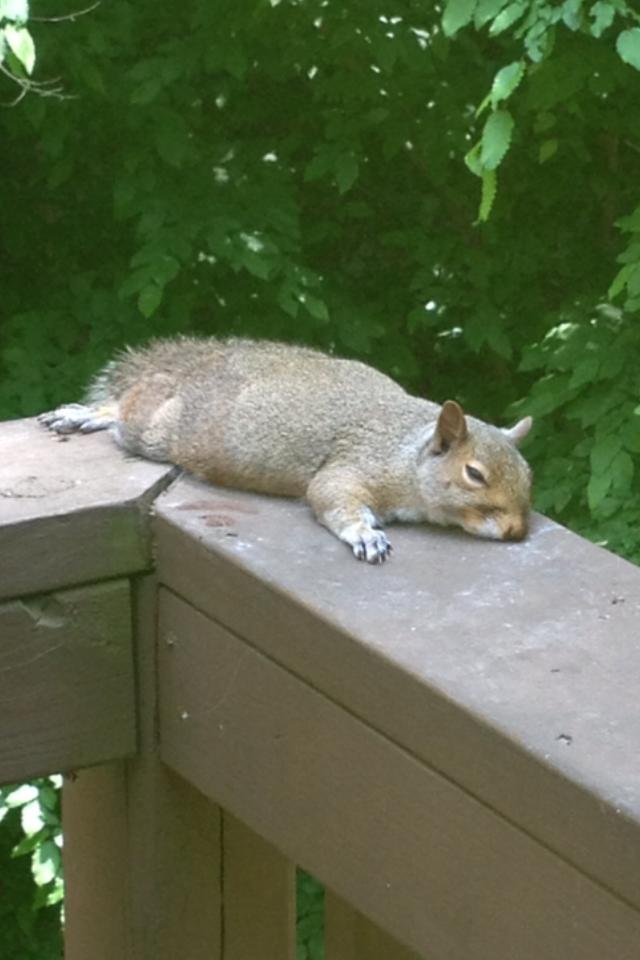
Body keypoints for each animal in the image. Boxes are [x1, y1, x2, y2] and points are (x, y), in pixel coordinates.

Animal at [39, 336, 533, 563]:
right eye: (474, 474)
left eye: (528, 476)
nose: (515, 531)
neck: (406, 453)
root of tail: (198, 372)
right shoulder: (355, 464)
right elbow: (330, 496)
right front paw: (364, 533)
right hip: (161, 430)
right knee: (127, 411)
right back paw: (90, 414)